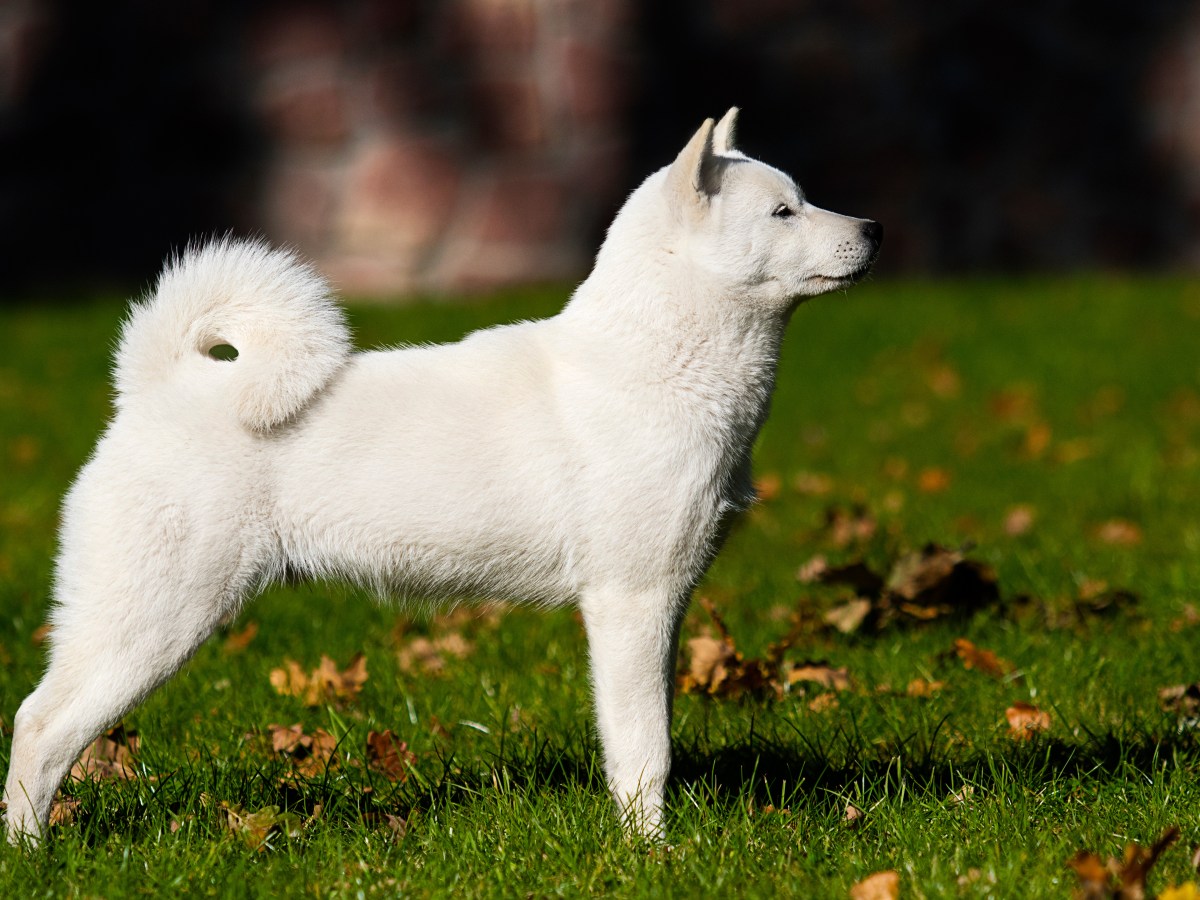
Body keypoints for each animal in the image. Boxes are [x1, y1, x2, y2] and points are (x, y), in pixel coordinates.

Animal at [2, 109, 883, 849]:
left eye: (803, 200)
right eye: (783, 212)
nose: (874, 229)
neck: (652, 367)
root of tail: (153, 388)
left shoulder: (659, 607)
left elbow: (644, 734)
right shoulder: (630, 602)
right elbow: (644, 750)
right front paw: (651, 852)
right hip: (152, 621)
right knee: (40, 727)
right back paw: (32, 854)